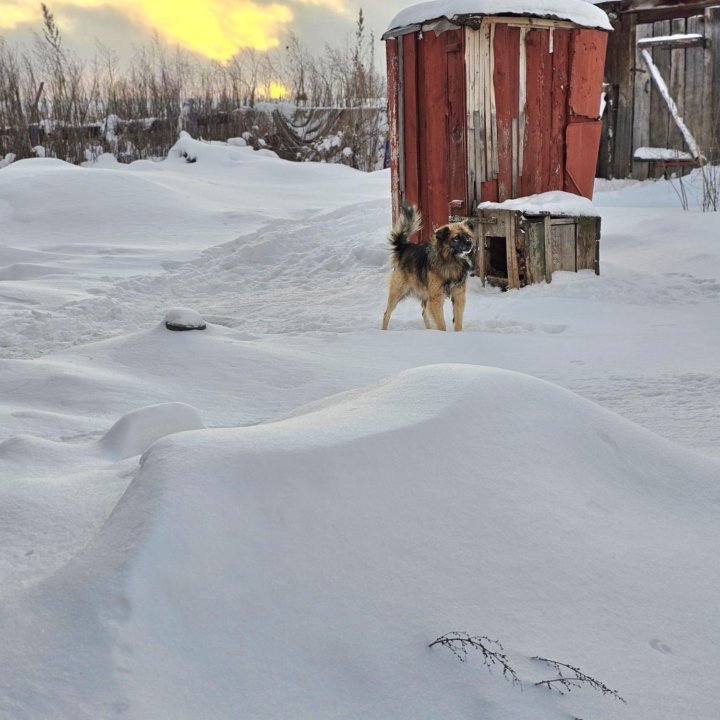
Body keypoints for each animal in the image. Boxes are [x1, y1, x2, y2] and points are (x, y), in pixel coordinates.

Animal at [382, 202, 478, 332]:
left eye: (468, 235)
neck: (452, 261)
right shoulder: (436, 297)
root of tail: (405, 247)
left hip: (425, 294)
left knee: (424, 313)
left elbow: (458, 323)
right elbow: (441, 324)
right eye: (456, 238)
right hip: (398, 292)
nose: (470, 243)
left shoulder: (458, 296)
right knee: (386, 313)